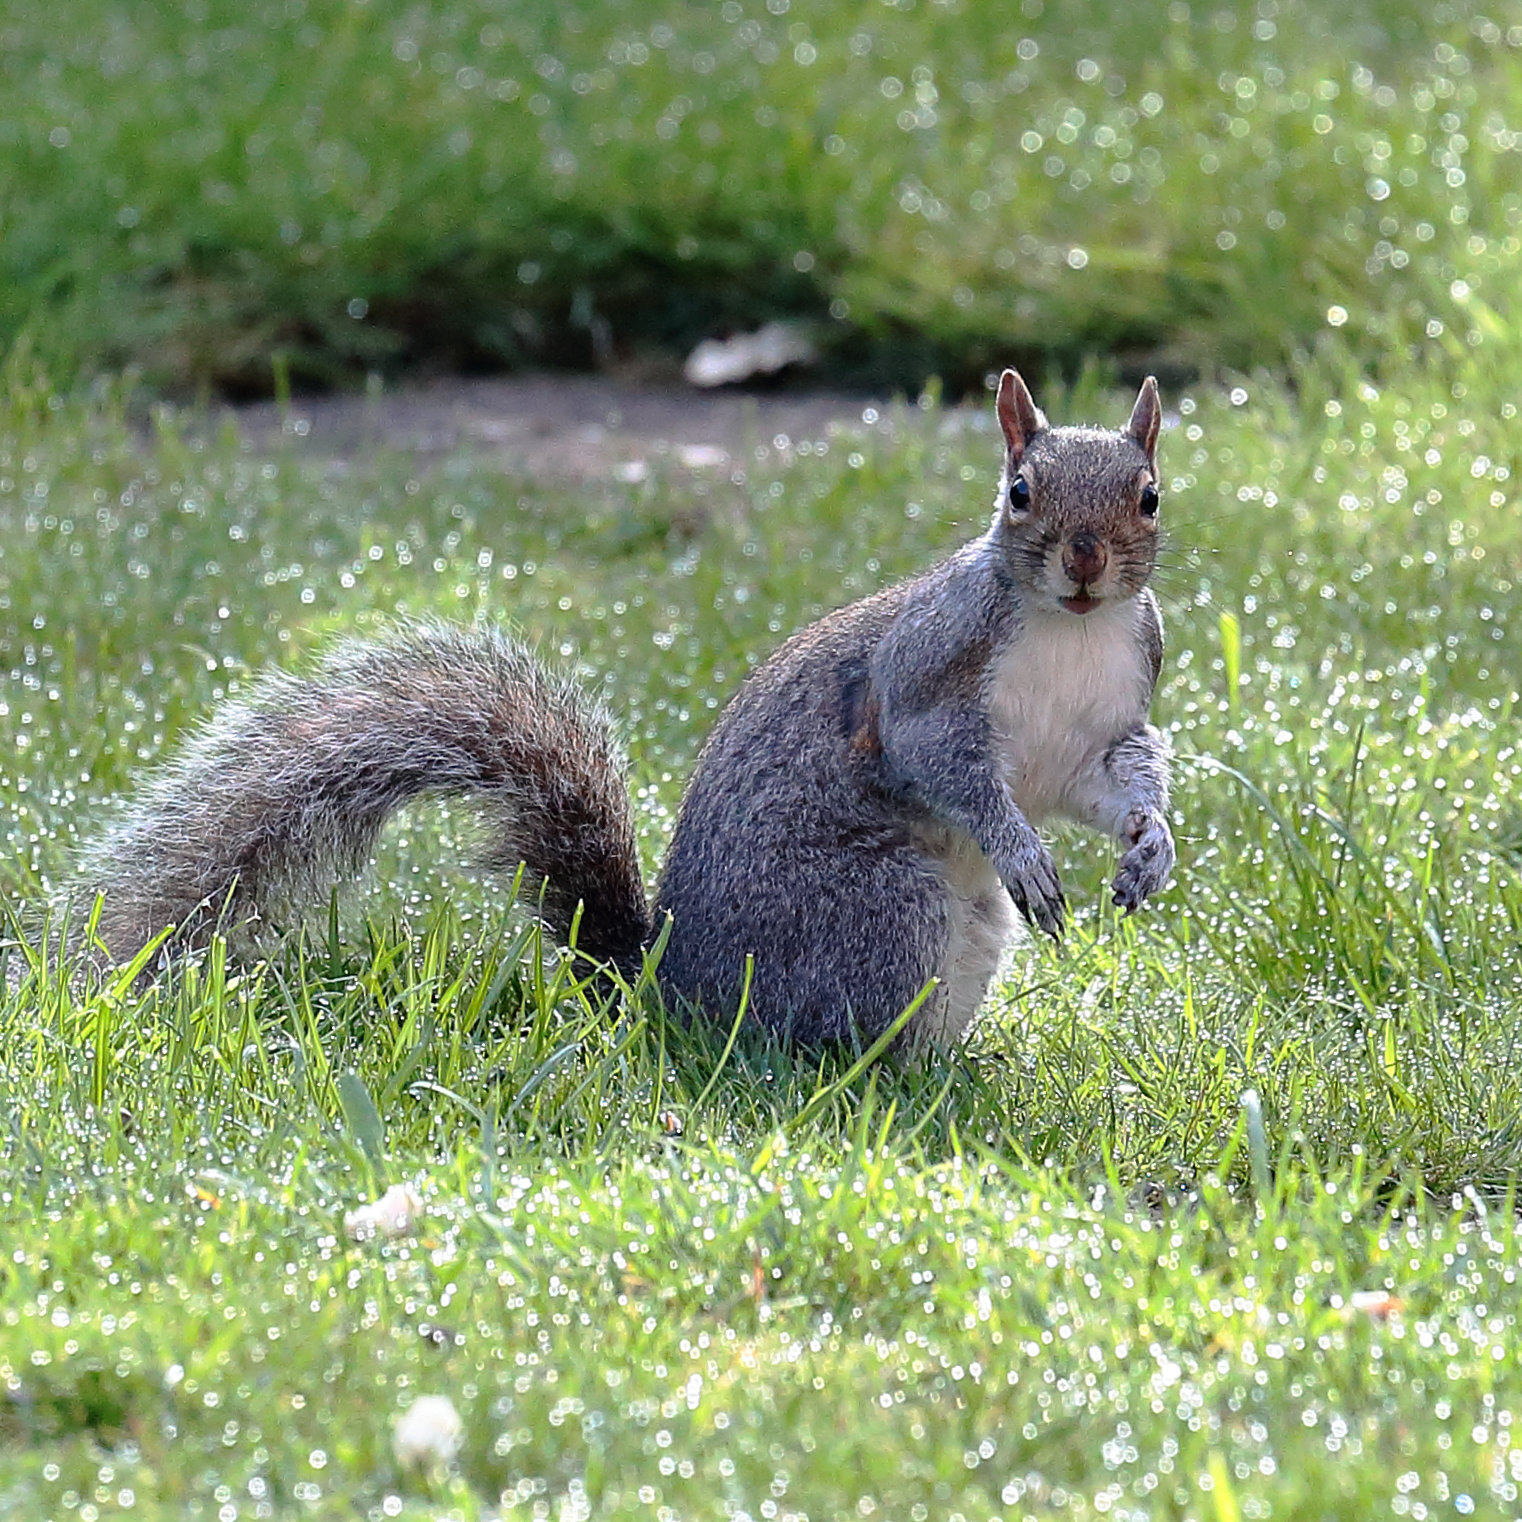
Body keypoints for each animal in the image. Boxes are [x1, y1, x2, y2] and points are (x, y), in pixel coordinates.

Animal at [74, 374, 1174, 1053]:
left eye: (1150, 495)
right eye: (1019, 491)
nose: (1083, 562)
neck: (1067, 631)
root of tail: (667, 993)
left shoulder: (1102, 722)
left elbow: (1111, 780)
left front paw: (1149, 844)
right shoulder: (923, 684)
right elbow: (944, 768)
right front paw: (1019, 843)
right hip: (881, 906)